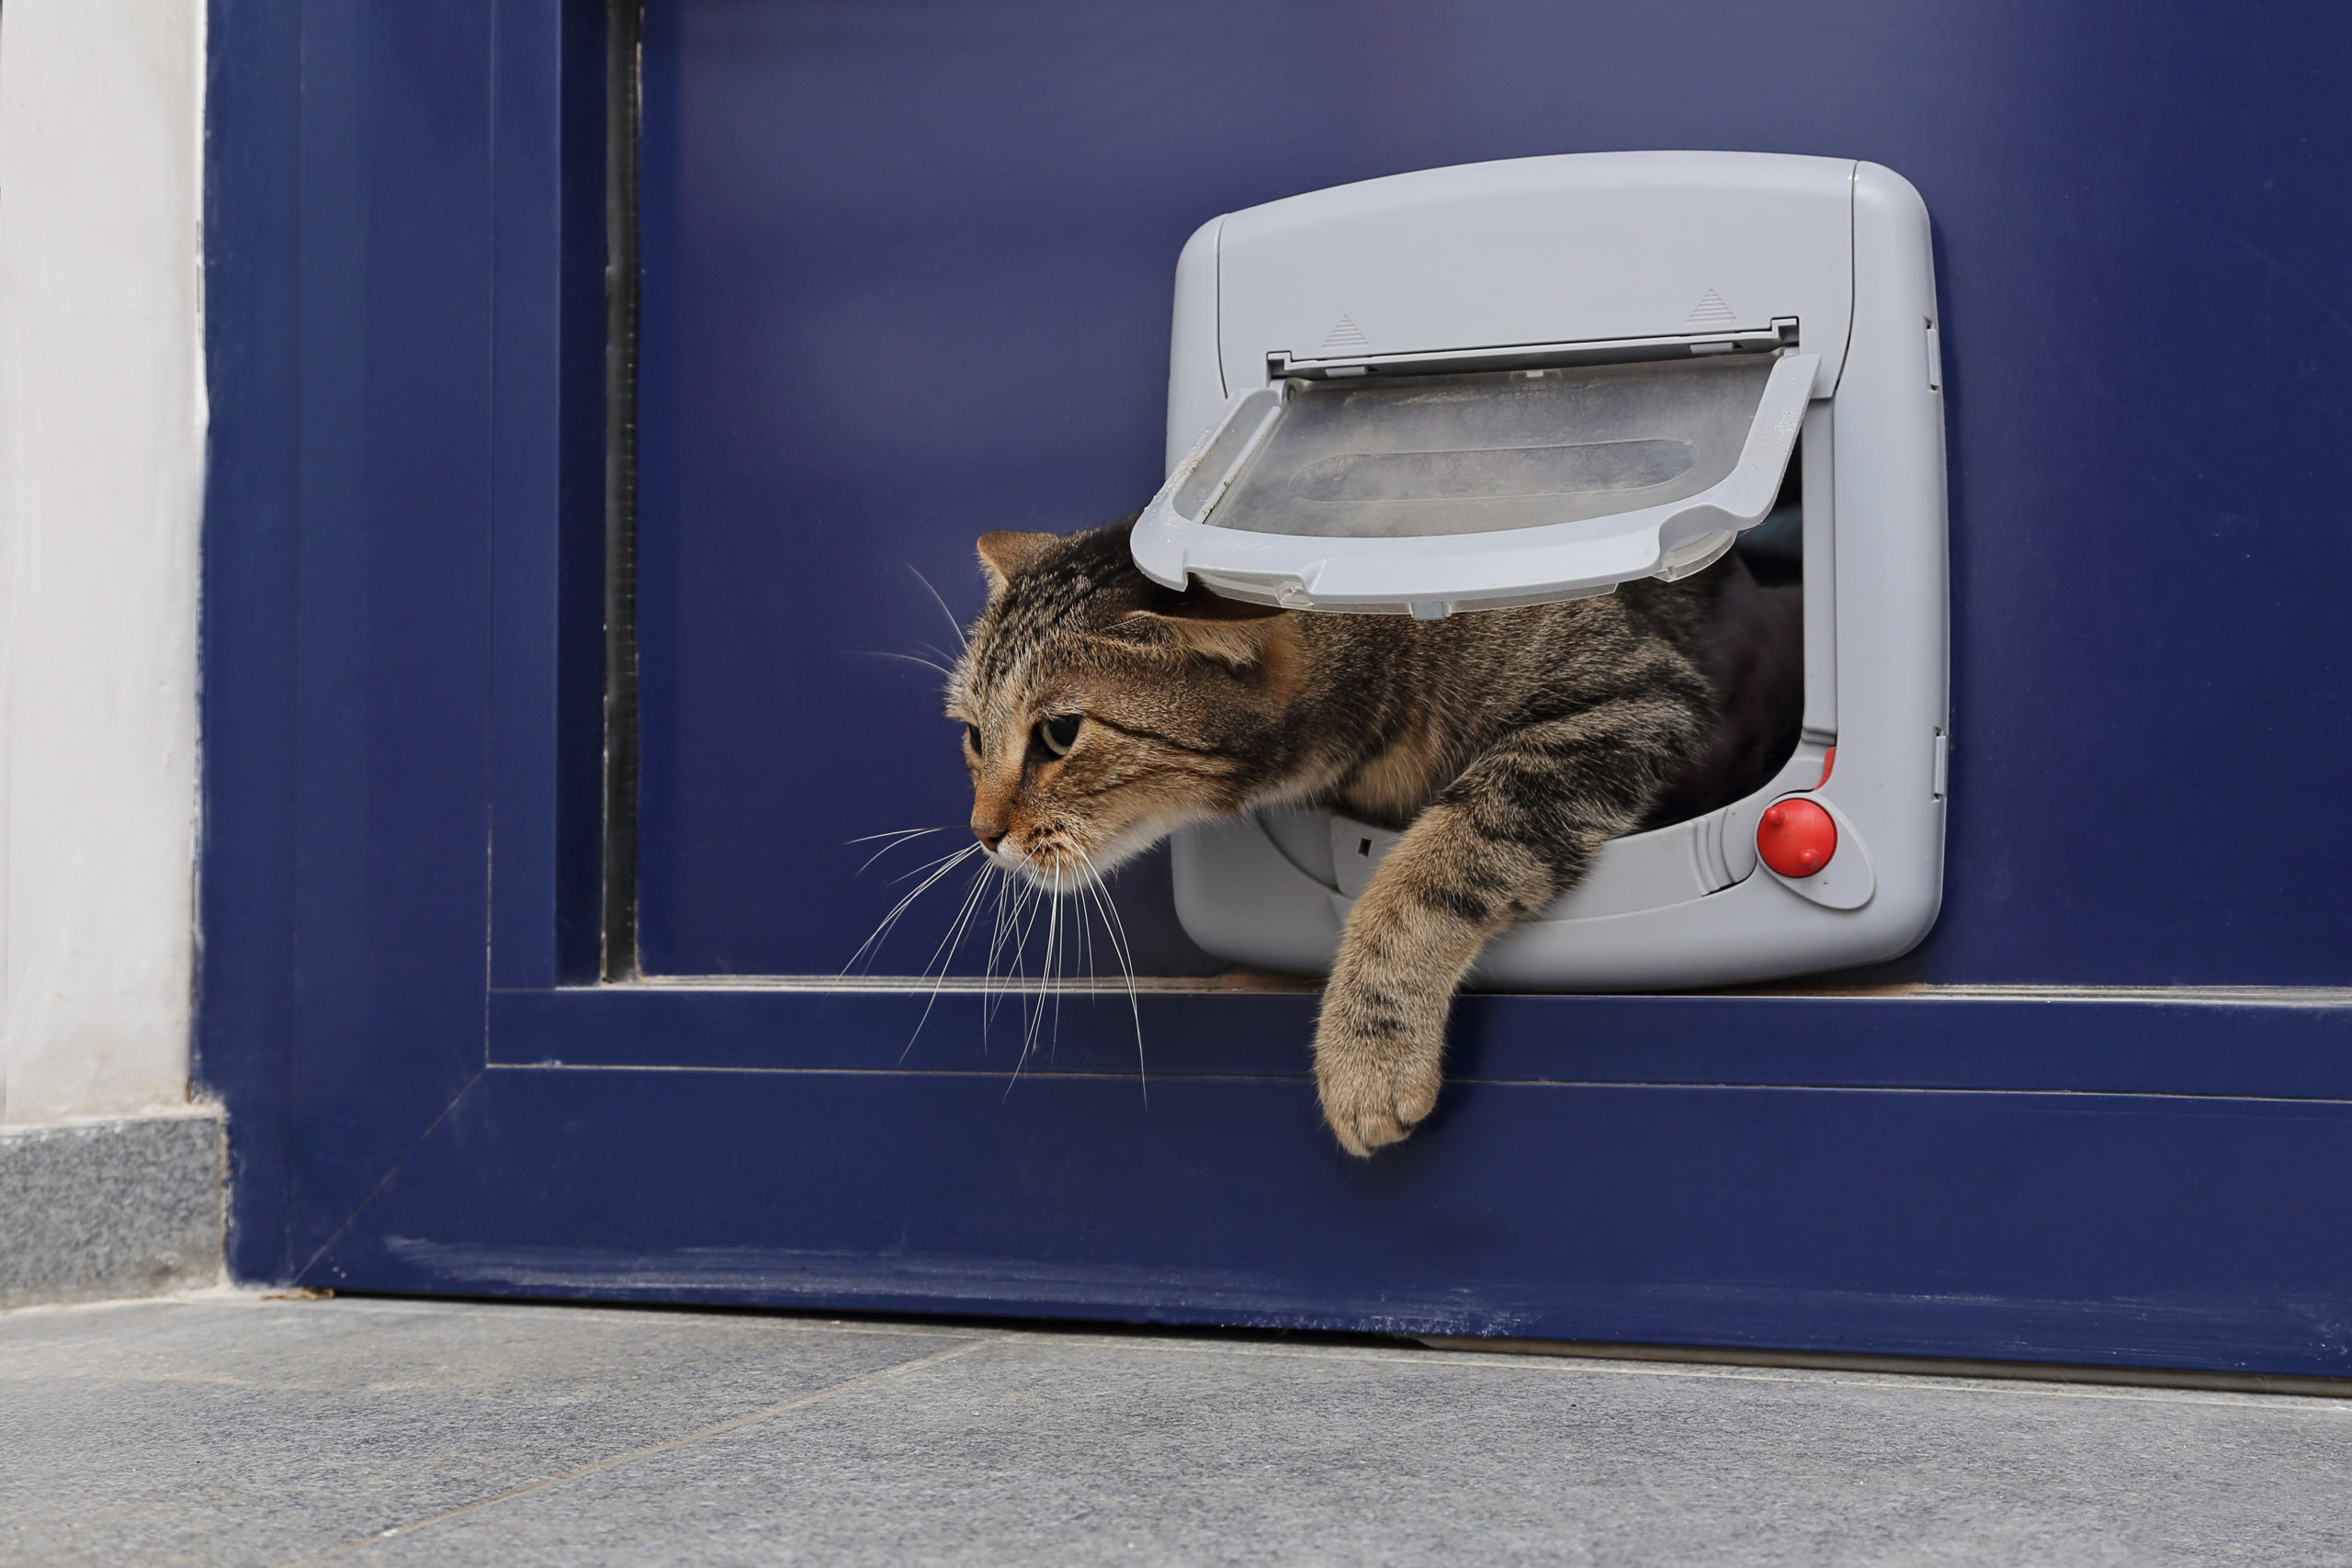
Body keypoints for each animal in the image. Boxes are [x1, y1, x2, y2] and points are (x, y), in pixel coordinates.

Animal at [945, 514, 1787, 1152]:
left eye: (1059, 734)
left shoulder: (1627, 701)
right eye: (974, 736)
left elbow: (1432, 869)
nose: (982, 831)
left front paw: (1368, 1052)